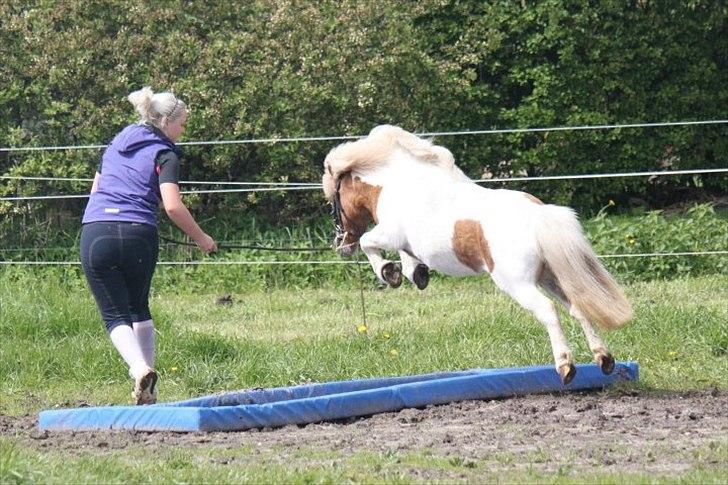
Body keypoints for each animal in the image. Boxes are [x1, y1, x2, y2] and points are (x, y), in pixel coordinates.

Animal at [322, 124, 636, 382]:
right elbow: (409, 263)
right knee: (577, 308)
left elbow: (369, 243)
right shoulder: (406, 243)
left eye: (333, 202)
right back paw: (604, 359)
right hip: (551, 277)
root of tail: (537, 216)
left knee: (548, 310)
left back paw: (566, 367)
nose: (341, 244)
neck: (400, 184)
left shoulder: (390, 233)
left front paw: (389, 272)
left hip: (517, 284)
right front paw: (415, 274)